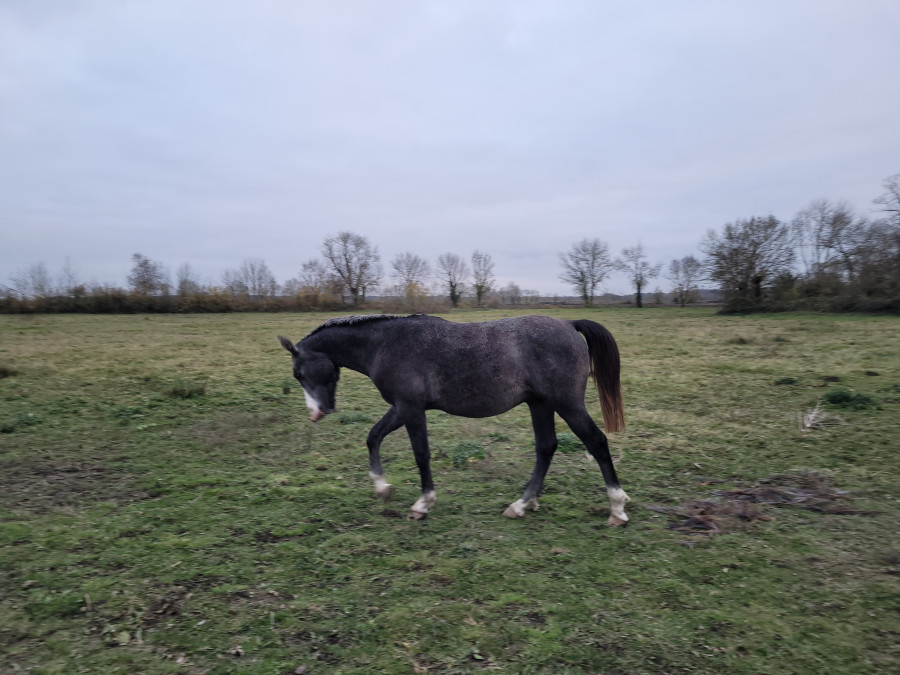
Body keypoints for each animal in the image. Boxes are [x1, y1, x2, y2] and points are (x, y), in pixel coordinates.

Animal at [278, 314, 630, 525]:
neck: (385, 344)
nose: (316, 413)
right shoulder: (401, 407)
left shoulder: (411, 408)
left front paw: (422, 504)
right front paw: (382, 486)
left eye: (299, 373)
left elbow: (421, 454)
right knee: (546, 447)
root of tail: (569, 324)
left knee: (596, 442)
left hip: (566, 404)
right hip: (540, 404)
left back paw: (617, 507)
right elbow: (373, 436)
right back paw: (522, 503)